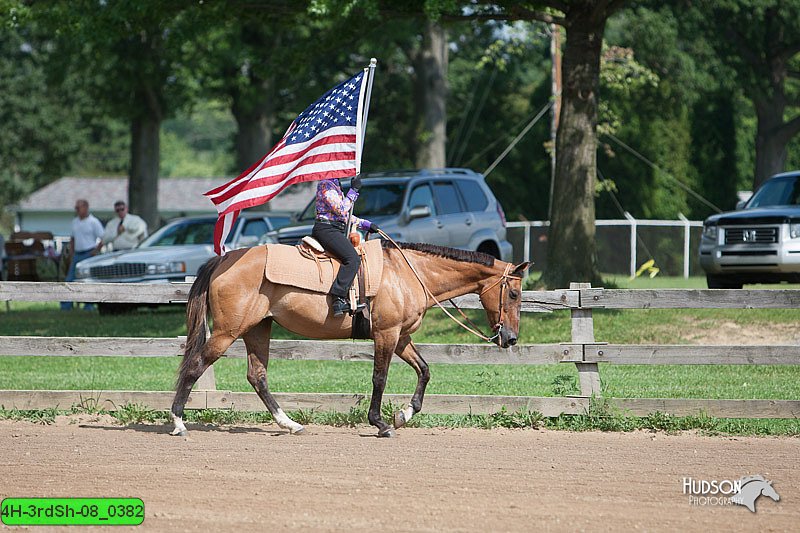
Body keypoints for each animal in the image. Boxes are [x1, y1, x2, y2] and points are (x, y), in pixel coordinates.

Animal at [170, 241, 532, 436]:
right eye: (514, 293)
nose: (511, 338)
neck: (408, 272)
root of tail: (224, 259)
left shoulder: (401, 337)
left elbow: (424, 370)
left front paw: (405, 414)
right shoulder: (386, 335)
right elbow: (379, 378)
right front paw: (381, 423)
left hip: (259, 328)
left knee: (257, 375)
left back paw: (290, 423)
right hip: (228, 332)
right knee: (195, 365)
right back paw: (178, 422)